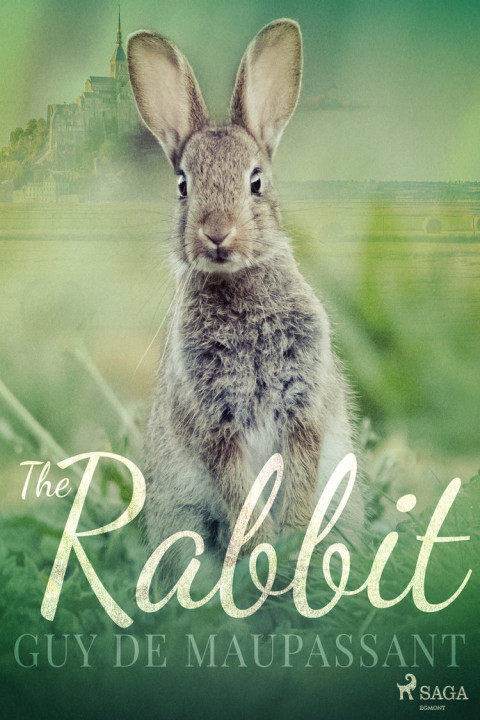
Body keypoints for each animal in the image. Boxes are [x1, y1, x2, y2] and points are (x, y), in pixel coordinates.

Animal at [127, 19, 365, 579]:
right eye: (183, 185)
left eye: (255, 182)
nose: (217, 234)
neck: (240, 288)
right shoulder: (215, 424)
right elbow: (239, 491)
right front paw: (266, 549)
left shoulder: (303, 406)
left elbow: (300, 471)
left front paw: (293, 540)